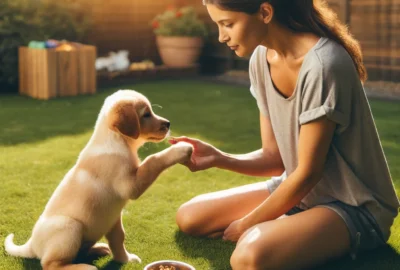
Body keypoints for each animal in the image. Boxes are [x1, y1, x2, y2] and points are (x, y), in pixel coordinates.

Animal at [4, 89, 194, 268]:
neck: (116, 140)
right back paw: (85, 267)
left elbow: (118, 239)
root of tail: (31, 245)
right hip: (70, 227)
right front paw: (182, 149)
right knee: (51, 264)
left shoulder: (114, 218)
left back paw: (99, 249)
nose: (168, 123)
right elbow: (153, 160)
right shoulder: (130, 185)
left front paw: (124, 259)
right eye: (146, 114)